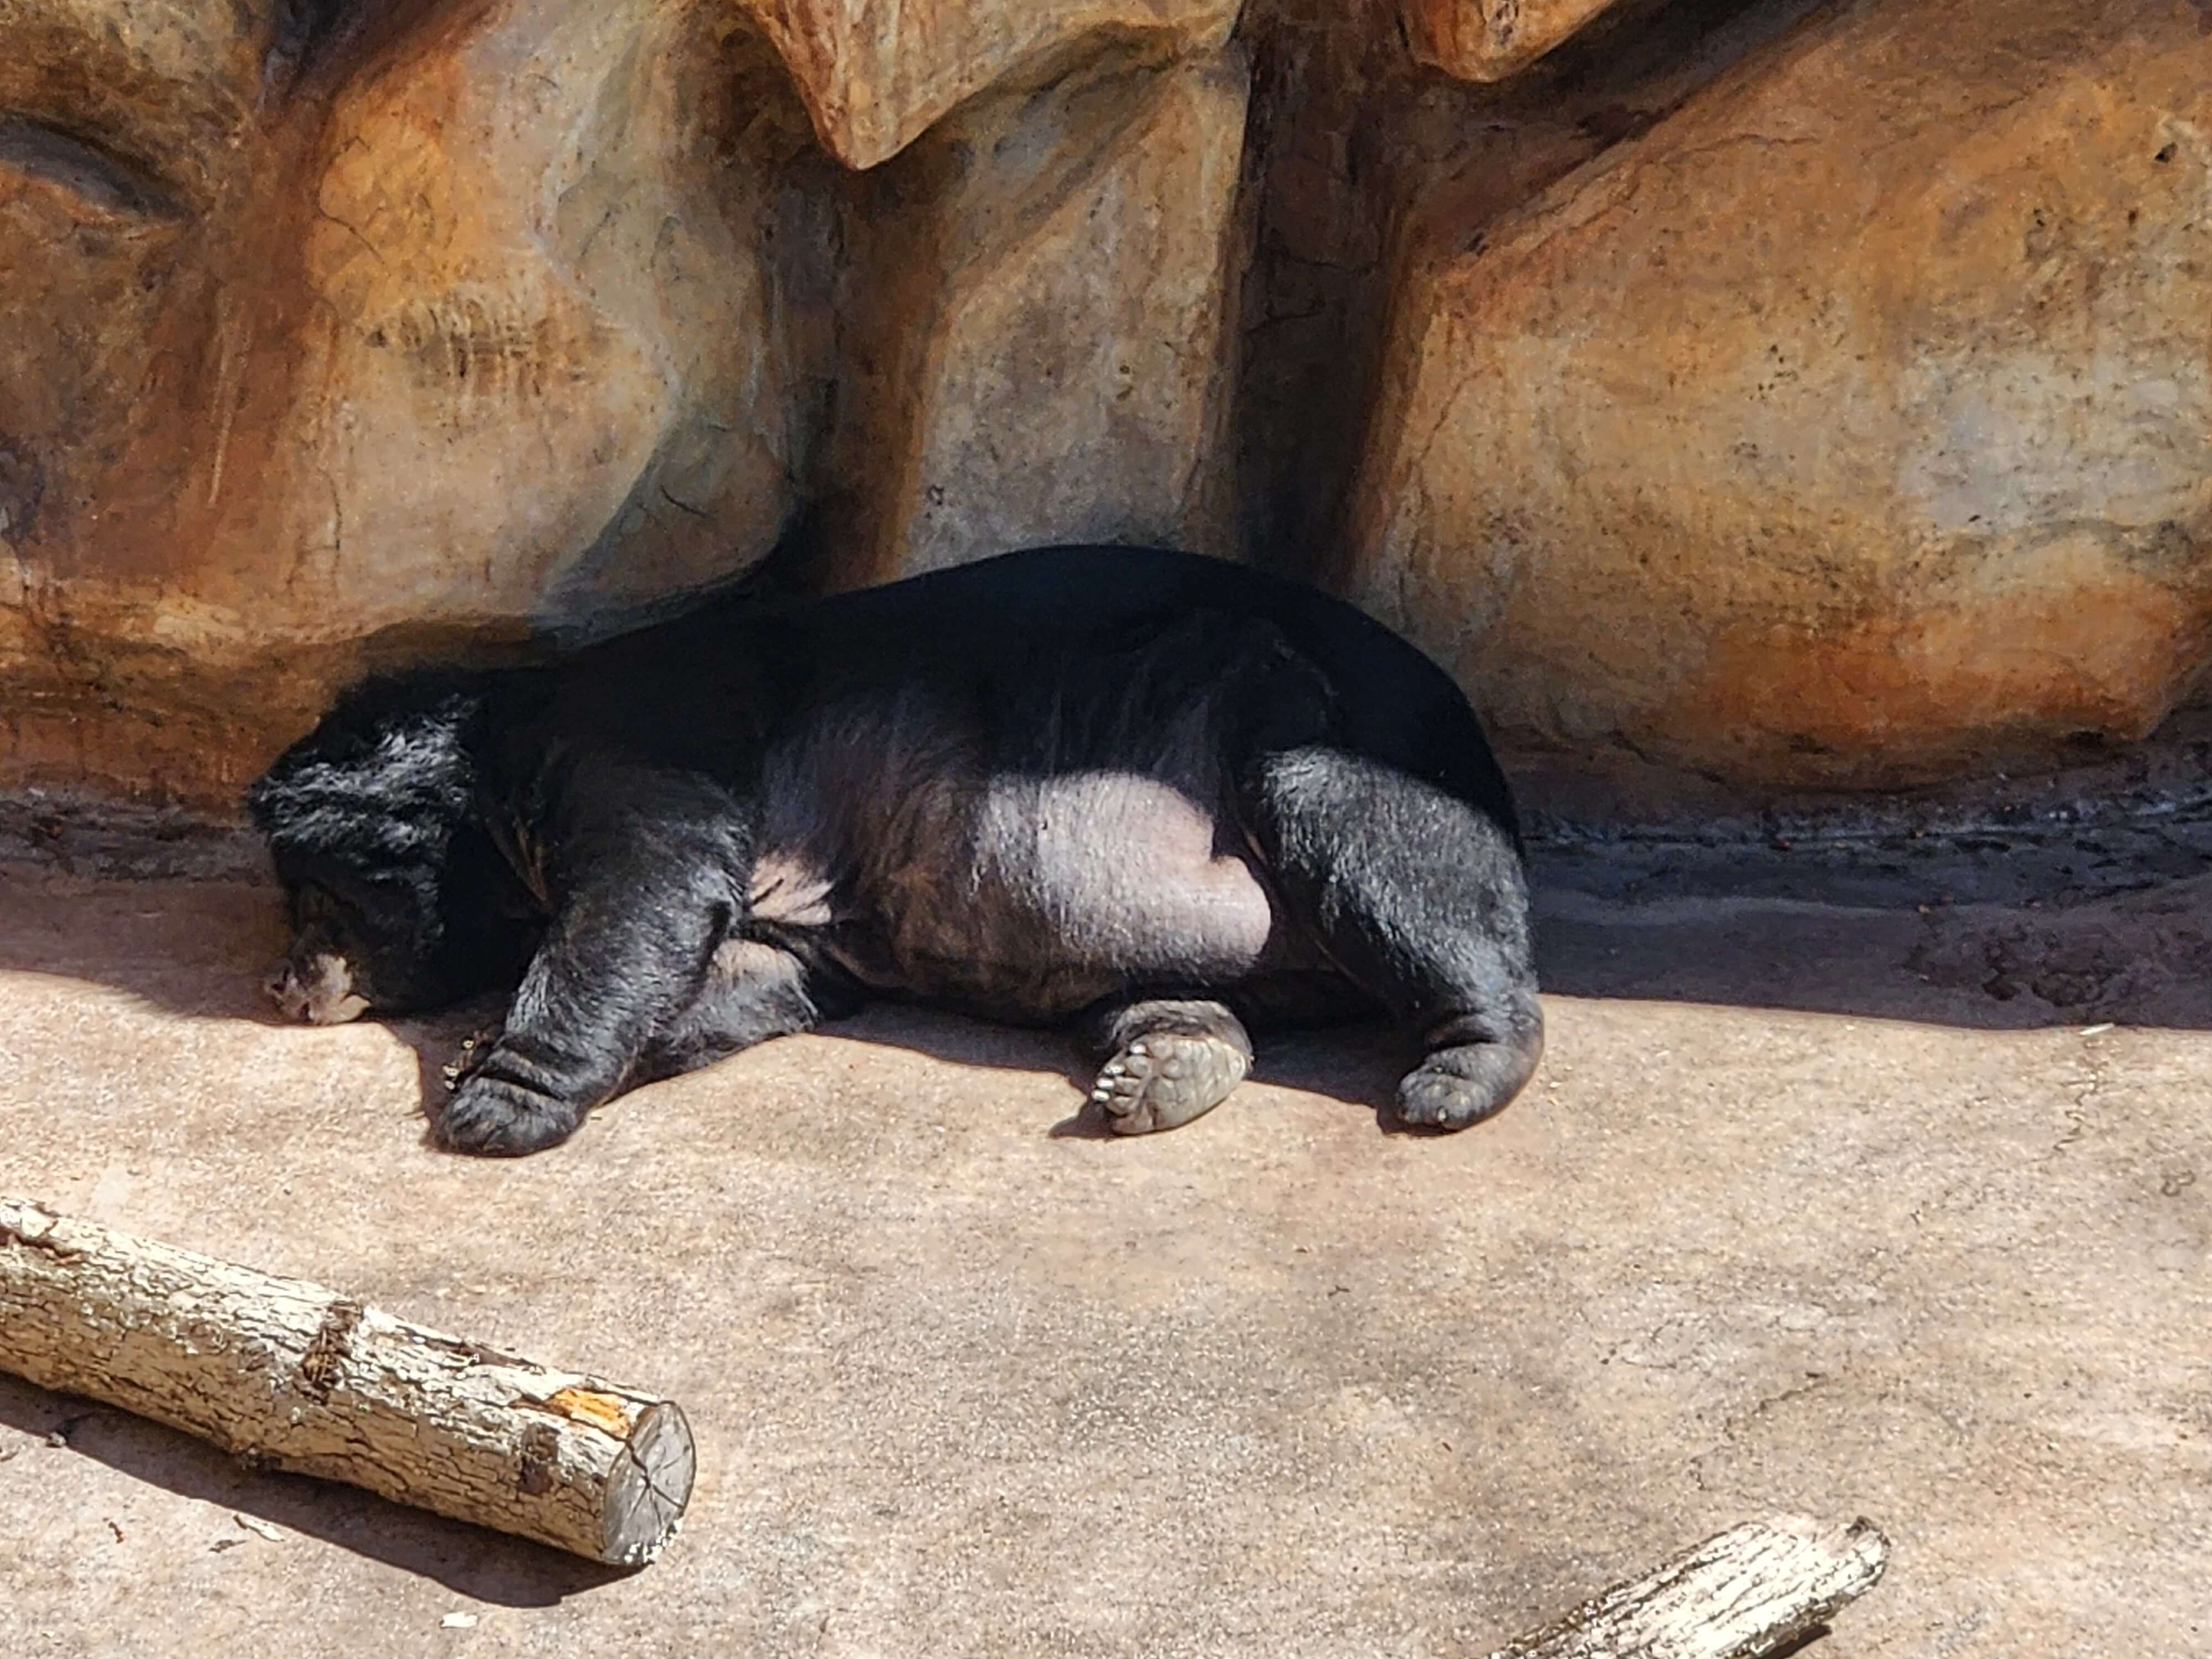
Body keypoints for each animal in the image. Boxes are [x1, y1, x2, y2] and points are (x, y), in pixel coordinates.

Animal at [246, 544, 1543, 1155]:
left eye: (316, 894)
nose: (284, 984)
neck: (500, 755)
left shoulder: (638, 738)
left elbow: (645, 883)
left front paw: (491, 1095)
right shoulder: (781, 921)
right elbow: (742, 972)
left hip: (1319, 729)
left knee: (1391, 855)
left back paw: (1458, 1073)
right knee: (1164, 995)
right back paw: (1164, 1065)